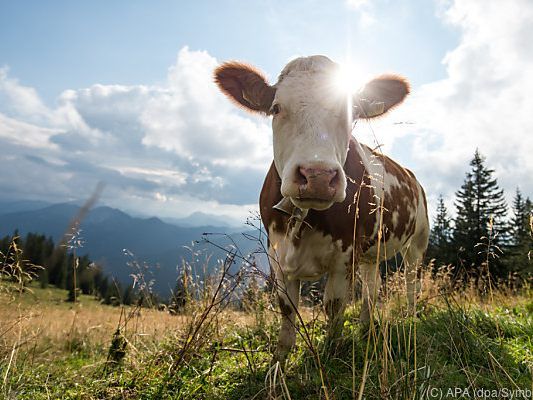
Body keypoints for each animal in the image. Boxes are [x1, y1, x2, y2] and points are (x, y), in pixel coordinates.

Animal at [213, 54, 428, 360]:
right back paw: (366, 328)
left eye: (352, 113)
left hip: (418, 242)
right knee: (372, 288)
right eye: (276, 108)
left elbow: (334, 307)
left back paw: (409, 318)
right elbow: (287, 312)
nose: (317, 176)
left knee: (411, 282)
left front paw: (331, 351)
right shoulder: (277, 255)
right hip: (371, 252)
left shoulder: (344, 256)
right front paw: (279, 360)